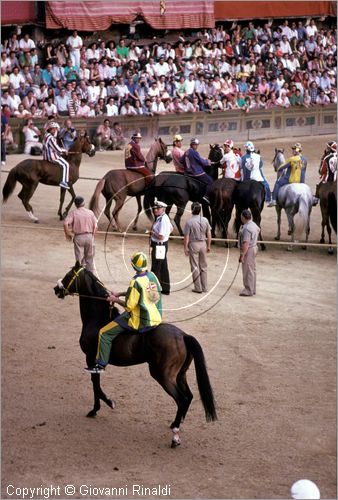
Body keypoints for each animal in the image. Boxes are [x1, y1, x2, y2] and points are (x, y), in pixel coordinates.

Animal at [52, 264, 217, 448]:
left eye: (68, 275)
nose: (56, 289)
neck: (98, 319)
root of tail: (183, 335)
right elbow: (96, 384)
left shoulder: (91, 360)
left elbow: (96, 385)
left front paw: (103, 405)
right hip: (180, 375)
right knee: (188, 397)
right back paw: (177, 423)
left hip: (163, 376)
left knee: (181, 399)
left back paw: (175, 435)